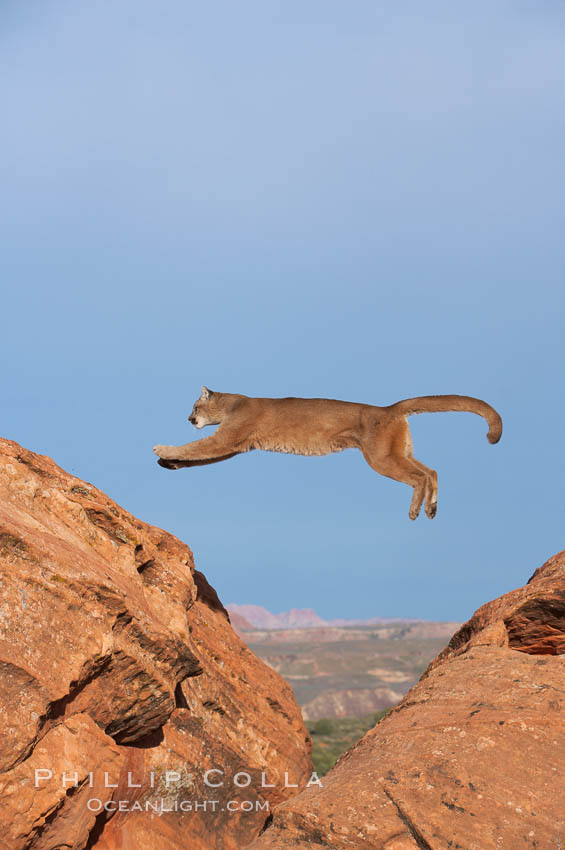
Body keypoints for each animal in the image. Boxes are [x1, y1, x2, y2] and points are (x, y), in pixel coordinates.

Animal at [152, 384, 500, 516]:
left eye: (194, 406)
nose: (189, 418)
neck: (232, 404)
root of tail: (389, 408)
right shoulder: (234, 445)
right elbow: (197, 456)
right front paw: (169, 462)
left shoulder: (228, 438)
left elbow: (197, 447)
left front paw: (162, 448)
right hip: (400, 451)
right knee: (432, 470)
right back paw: (431, 508)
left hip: (381, 457)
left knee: (419, 477)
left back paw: (417, 510)